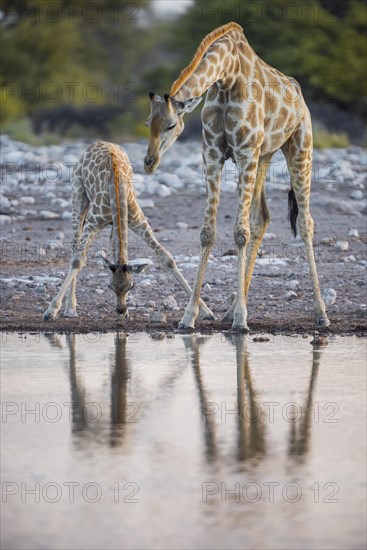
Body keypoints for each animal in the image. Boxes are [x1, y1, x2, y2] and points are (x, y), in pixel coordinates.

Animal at [43, 142, 214, 322]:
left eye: (131, 286)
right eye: (109, 286)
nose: (121, 309)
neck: (118, 192)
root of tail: (96, 143)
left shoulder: (138, 220)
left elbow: (167, 257)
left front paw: (205, 310)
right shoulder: (93, 223)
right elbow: (78, 260)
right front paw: (51, 310)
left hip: (112, 223)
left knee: (112, 245)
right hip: (78, 195)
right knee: (74, 245)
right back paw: (70, 307)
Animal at [144, 21, 330, 330]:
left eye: (171, 125)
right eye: (149, 123)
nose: (149, 162)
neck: (227, 76)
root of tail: (299, 93)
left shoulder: (244, 152)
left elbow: (240, 233)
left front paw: (242, 320)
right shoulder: (212, 154)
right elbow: (207, 232)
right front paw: (189, 315)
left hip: (300, 147)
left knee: (305, 222)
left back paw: (320, 312)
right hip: (263, 156)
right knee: (261, 217)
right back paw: (231, 309)